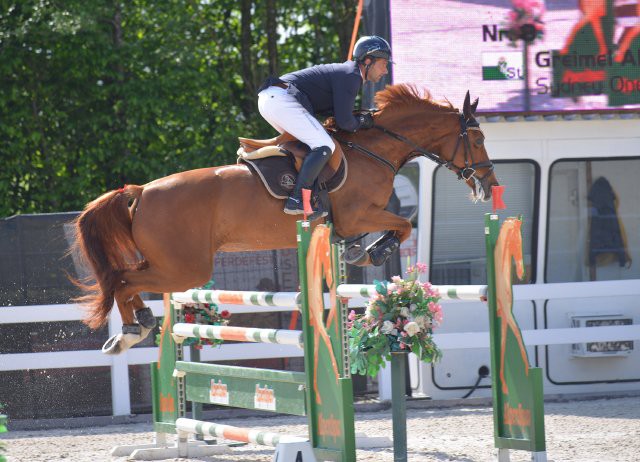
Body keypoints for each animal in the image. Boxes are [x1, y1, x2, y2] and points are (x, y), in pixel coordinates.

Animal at [71, 85, 500, 354]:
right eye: (478, 140)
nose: (489, 183)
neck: (374, 149)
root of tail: (141, 190)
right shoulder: (358, 213)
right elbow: (404, 225)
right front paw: (374, 252)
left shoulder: (350, 221)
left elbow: (389, 228)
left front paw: (359, 250)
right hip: (185, 269)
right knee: (122, 280)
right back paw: (131, 332)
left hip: (168, 264)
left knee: (125, 280)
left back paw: (137, 323)